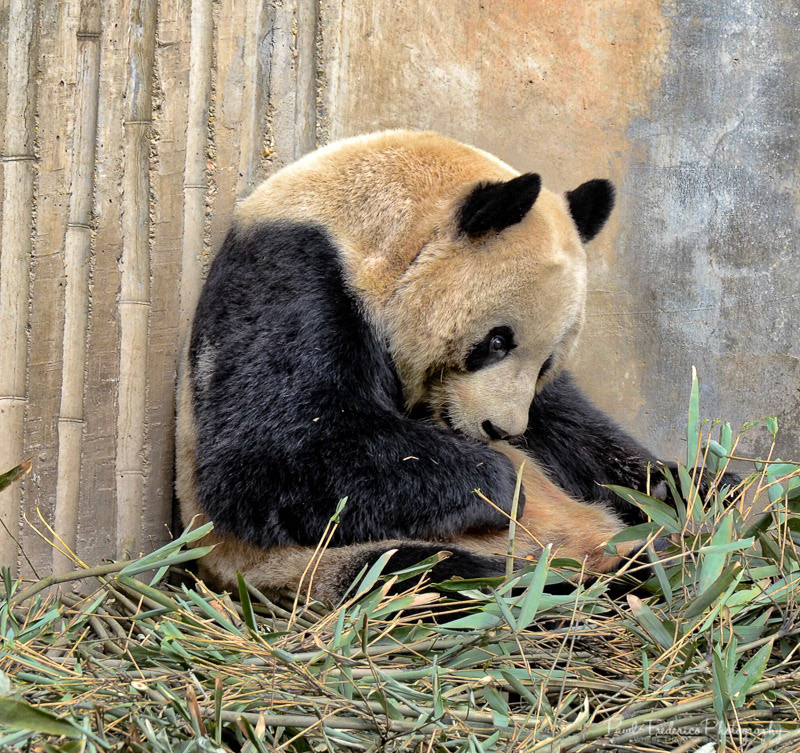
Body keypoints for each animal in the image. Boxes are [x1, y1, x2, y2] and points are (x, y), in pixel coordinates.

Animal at [176, 130, 687, 605]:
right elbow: (269, 456)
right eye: (496, 341)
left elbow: (572, 429)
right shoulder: (296, 275)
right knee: (432, 578)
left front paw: (668, 488)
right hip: (311, 562)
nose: (500, 430)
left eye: (547, 362)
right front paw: (499, 484)